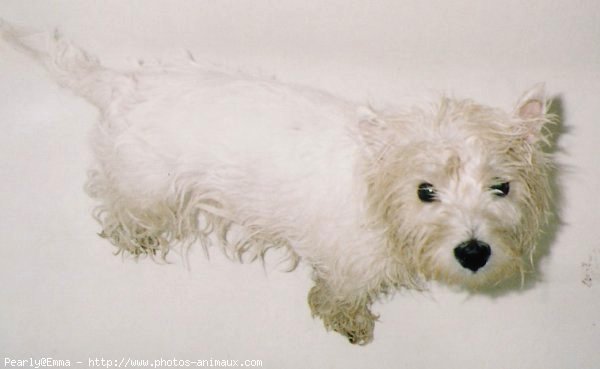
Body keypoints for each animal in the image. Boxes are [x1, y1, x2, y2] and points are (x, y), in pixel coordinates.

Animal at [0, 20, 556, 342]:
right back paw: (136, 238)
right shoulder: (347, 267)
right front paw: (348, 325)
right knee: (117, 211)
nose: (474, 252)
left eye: (501, 187)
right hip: (144, 187)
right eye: (425, 191)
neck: (374, 194)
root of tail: (123, 85)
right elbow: (336, 299)